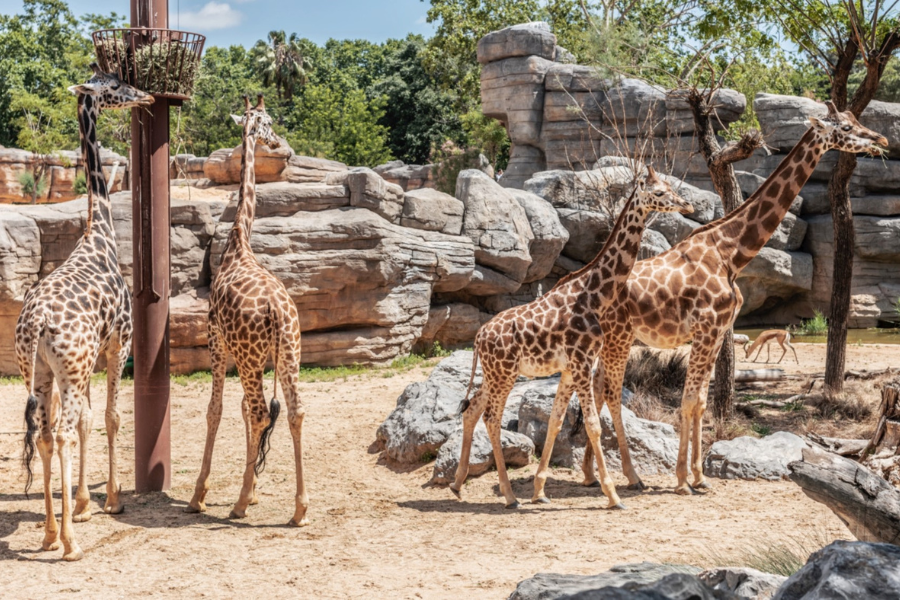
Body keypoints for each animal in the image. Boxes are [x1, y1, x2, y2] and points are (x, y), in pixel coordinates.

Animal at [15, 65, 154, 564]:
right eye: (114, 87)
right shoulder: (119, 343)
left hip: (38, 370)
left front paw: (83, 504)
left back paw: (50, 534)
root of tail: (36, 323)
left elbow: (91, 419)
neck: (101, 234)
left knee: (45, 434)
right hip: (70, 369)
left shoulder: (88, 359)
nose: (146, 95)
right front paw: (110, 500)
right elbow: (111, 417)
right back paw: (70, 544)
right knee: (62, 434)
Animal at [184, 94, 310, 524]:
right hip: (288, 354)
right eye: (267, 121)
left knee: (258, 412)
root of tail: (277, 310)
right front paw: (252, 488)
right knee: (294, 411)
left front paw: (200, 494)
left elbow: (216, 408)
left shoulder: (216, 340)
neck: (239, 242)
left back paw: (237, 504)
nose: (276, 142)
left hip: (251, 357)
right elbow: (236, 409)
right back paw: (300, 508)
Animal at [450, 166, 696, 508]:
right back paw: (509, 496)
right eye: (659, 192)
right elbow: (593, 425)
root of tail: (478, 338)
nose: (688, 206)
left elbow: (556, 420)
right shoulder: (581, 363)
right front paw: (613, 495)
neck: (594, 296)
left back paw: (457, 484)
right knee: (491, 417)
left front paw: (540, 492)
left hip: (494, 374)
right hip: (504, 375)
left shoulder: (571, 368)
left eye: (672, 187)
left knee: (473, 409)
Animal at [580, 101, 888, 494]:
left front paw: (698, 477)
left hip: (609, 342)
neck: (731, 251)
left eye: (856, 120)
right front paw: (682, 480)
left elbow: (700, 402)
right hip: (618, 339)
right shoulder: (707, 329)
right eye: (845, 128)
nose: (881, 140)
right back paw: (621, 476)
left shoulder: (716, 332)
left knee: (597, 389)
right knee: (607, 391)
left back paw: (592, 474)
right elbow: (690, 399)